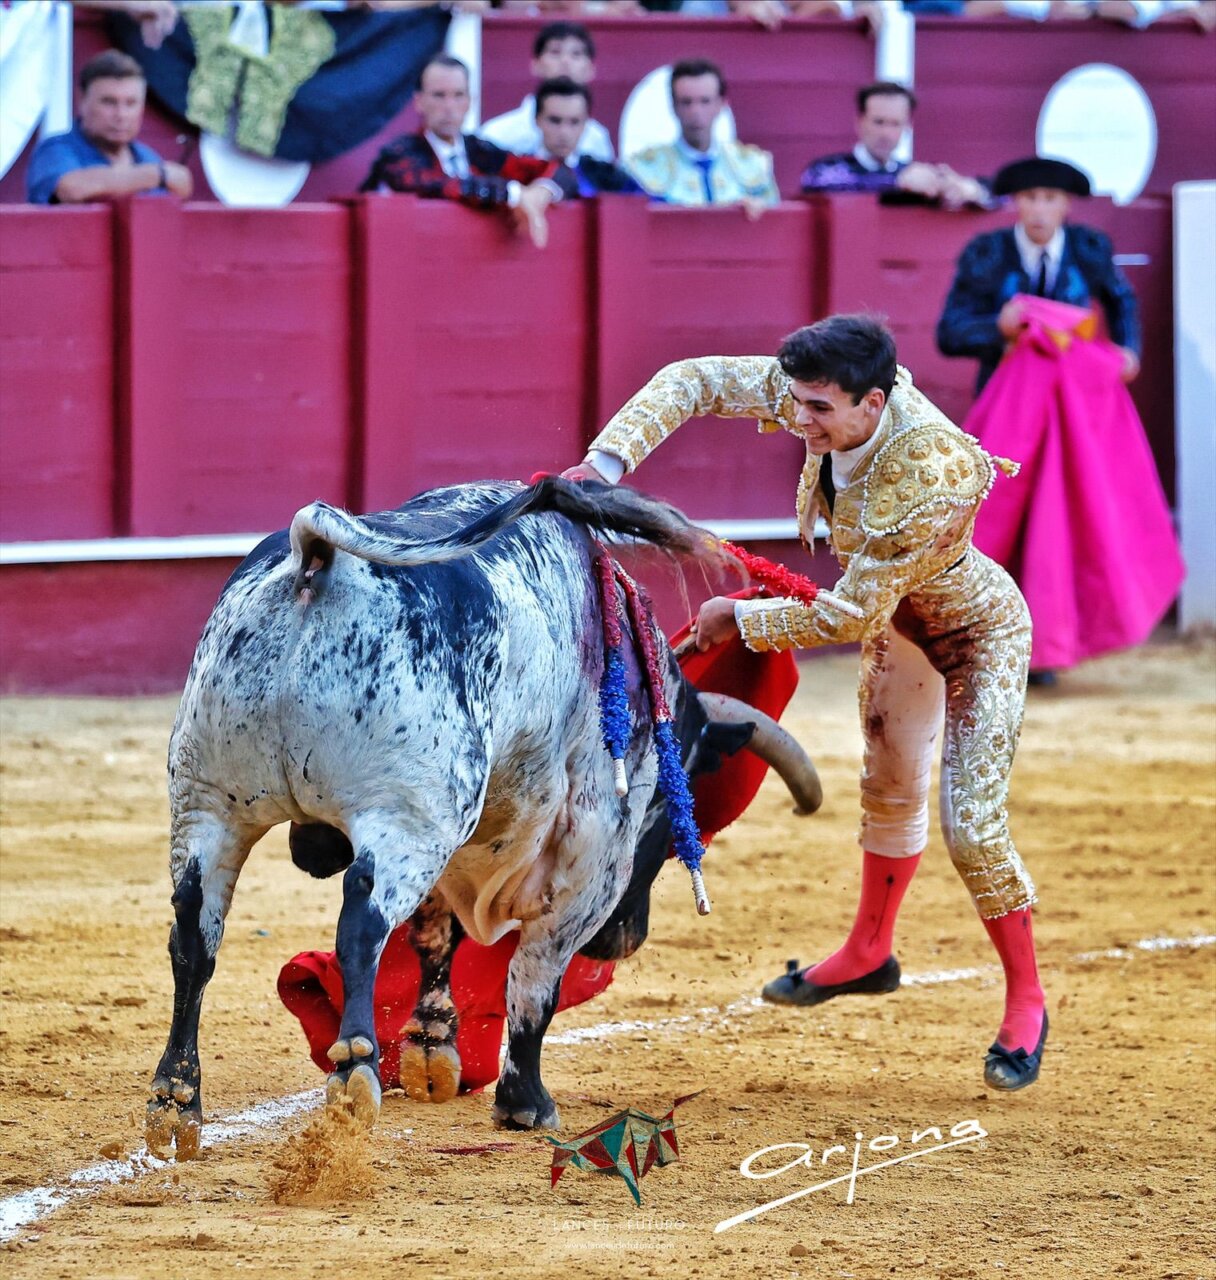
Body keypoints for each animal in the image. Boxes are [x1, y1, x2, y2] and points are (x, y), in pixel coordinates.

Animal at [146, 478, 820, 1159]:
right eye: (676, 808)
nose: (626, 939)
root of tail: (315, 557)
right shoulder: (590, 859)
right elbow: (534, 980)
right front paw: (525, 1104)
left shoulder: (462, 844)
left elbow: (437, 936)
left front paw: (432, 1048)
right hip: (405, 820)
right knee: (361, 922)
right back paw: (355, 1074)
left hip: (209, 807)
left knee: (194, 935)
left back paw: (176, 1102)